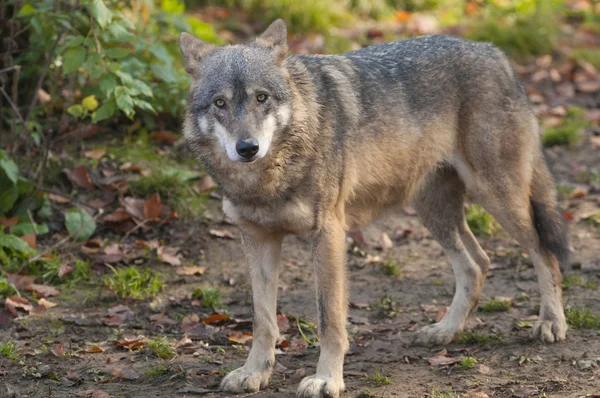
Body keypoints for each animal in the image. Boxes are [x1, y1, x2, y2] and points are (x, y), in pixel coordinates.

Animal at [177, 19, 568, 398]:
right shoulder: (258, 239)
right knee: (478, 263)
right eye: (220, 103)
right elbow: (262, 320)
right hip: (433, 210)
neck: (267, 178)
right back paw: (445, 330)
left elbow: (329, 319)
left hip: (498, 196)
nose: (247, 147)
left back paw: (551, 322)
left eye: (262, 98)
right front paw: (254, 373)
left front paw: (327, 380)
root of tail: (493, 51)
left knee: (543, 249)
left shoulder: (328, 234)